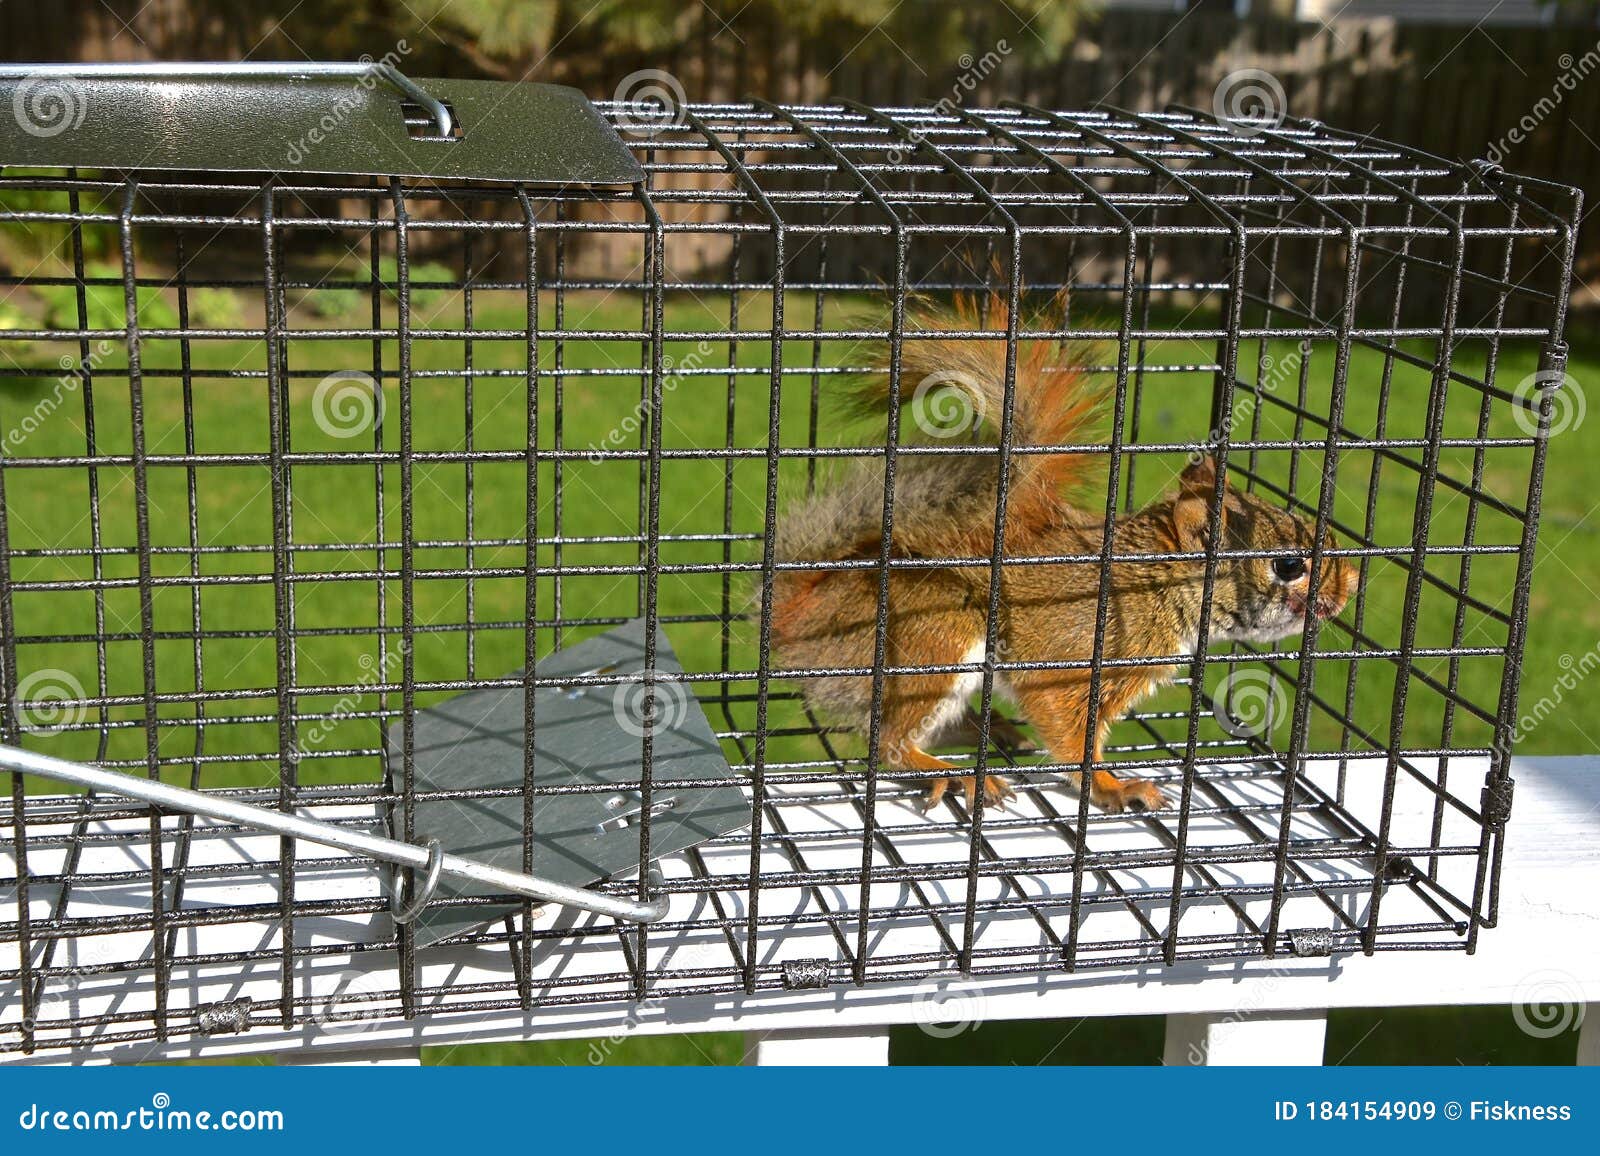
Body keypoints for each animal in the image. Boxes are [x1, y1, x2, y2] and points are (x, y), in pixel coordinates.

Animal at [768, 297, 1357, 814]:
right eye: (1288, 564)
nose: (1351, 584)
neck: (1157, 584)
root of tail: (800, 622)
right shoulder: (1072, 661)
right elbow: (1072, 738)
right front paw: (1113, 786)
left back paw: (993, 732)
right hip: (934, 637)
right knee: (889, 743)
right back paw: (953, 773)